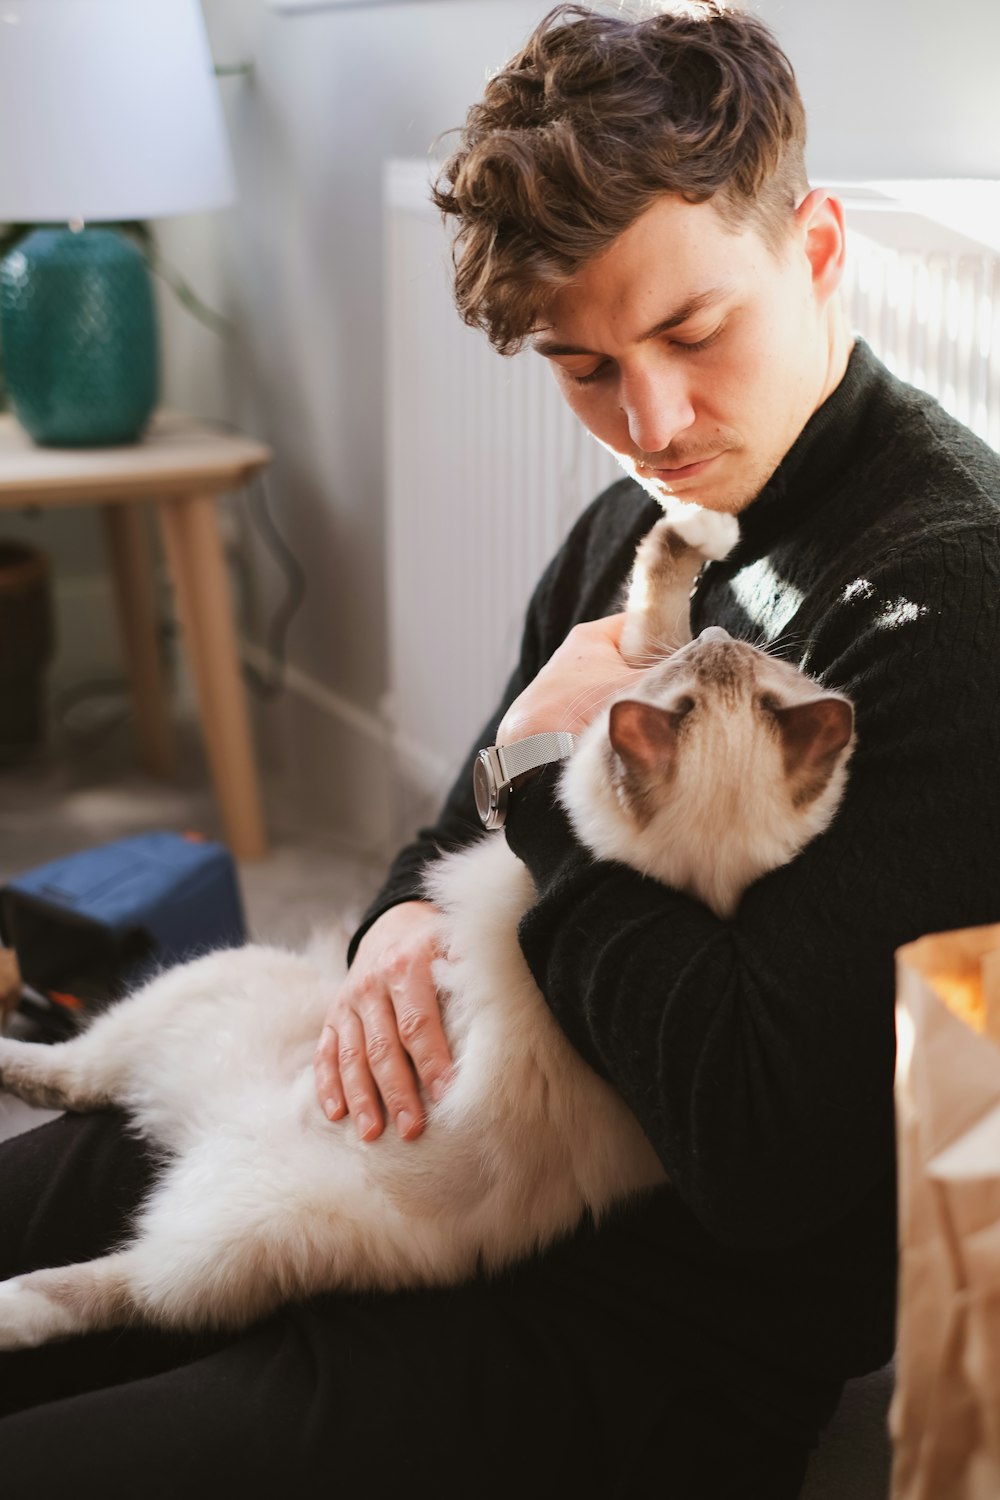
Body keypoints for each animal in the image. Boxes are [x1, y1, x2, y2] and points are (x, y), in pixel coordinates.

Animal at [0, 510, 851, 1356]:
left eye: (717, 672)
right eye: (739, 672)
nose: (723, 637)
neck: (697, 882)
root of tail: (202, 1135)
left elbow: (658, 575)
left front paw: (707, 529)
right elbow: (666, 580)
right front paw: (713, 534)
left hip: (218, 1239)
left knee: (104, 1282)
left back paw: (14, 1298)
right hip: (210, 988)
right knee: (81, 1073)